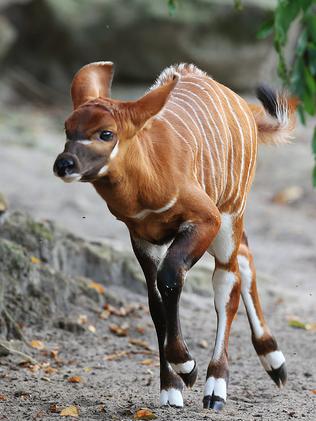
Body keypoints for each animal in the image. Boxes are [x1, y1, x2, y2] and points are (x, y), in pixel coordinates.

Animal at [52, 62, 296, 410]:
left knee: (227, 283)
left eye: (106, 133)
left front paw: (188, 368)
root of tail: (245, 109)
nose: (64, 164)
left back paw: (216, 388)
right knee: (245, 256)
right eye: (68, 130)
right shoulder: (141, 236)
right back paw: (273, 361)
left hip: (229, 214)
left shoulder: (205, 219)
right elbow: (155, 302)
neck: (148, 181)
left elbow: (171, 278)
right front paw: (171, 389)